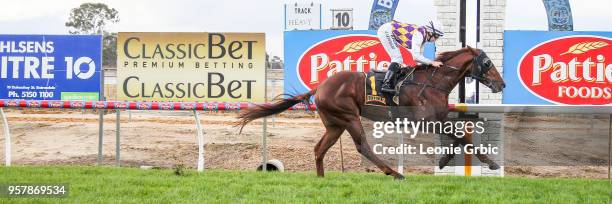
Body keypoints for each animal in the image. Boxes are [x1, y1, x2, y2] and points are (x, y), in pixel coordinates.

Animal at [239, 47, 506, 179]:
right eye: (487, 63)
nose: (501, 84)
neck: (432, 81)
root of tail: (321, 86)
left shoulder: (438, 118)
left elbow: (459, 138)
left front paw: (444, 160)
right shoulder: (425, 120)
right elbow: (463, 138)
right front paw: (491, 163)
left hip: (335, 124)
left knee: (319, 148)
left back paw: (321, 179)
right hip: (349, 117)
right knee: (363, 146)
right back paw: (394, 173)